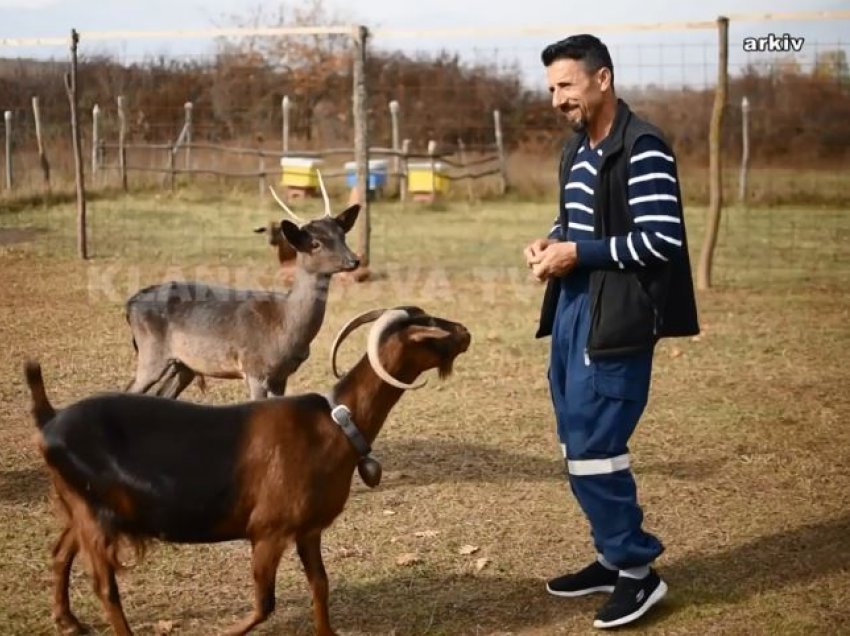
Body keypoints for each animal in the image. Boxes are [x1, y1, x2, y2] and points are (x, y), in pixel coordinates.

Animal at [24, 306, 470, 636]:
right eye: (430, 331)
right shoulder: (268, 531)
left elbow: (320, 586)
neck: (336, 424)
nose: (465, 331)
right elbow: (263, 604)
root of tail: (50, 420)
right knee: (104, 586)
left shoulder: (307, 530)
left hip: (82, 504)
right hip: (94, 513)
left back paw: (67, 620)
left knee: (61, 551)